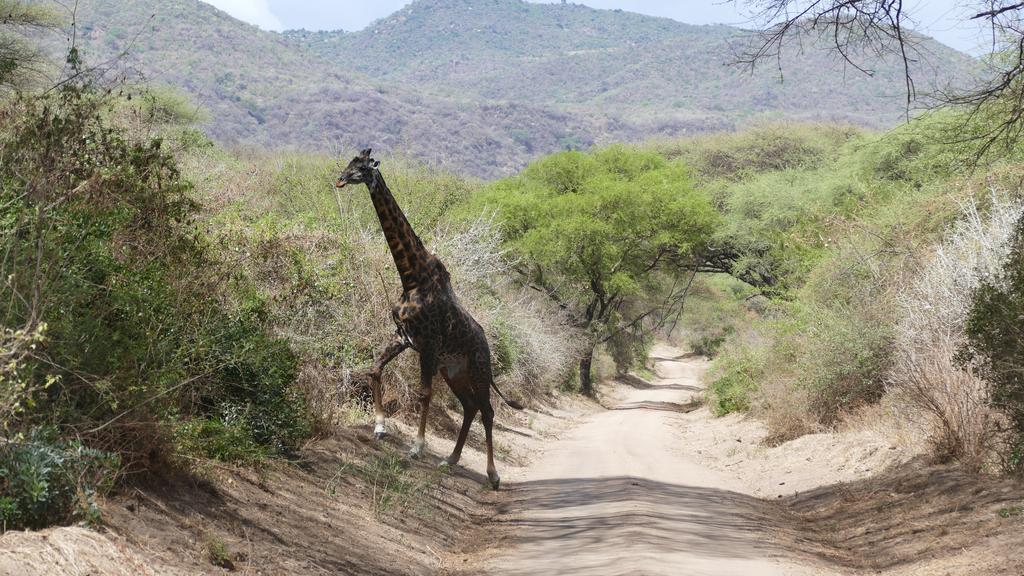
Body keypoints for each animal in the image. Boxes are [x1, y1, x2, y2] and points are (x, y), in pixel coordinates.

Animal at [335, 146, 524, 483]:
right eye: (349, 162)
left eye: (363, 167)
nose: (340, 180)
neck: (412, 277)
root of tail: (487, 344)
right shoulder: (404, 336)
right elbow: (374, 369)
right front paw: (380, 427)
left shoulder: (430, 344)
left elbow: (424, 393)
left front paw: (417, 447)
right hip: (454, 371)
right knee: (470, 407)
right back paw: (450, 459)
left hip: (478, 369)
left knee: (487, 410)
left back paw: (492, 475)